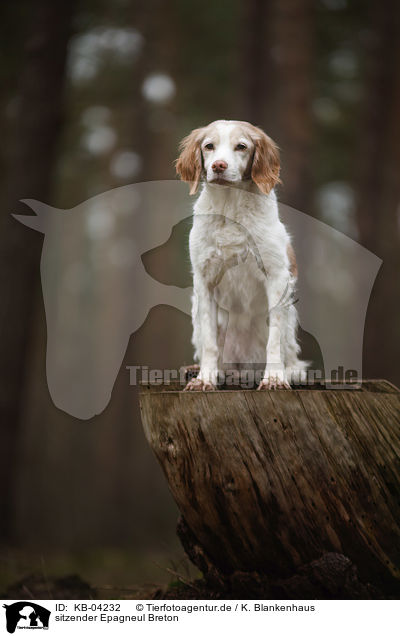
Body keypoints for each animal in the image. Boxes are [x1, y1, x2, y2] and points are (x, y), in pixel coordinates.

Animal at [176, 118, 306, 388]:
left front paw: (274, 378)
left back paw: (290, 371)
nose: (218, 166)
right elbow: (210, 342)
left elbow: (274, 340)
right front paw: (206, 378)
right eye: (209, 146)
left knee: (290, 355)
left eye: (241, 146)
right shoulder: (204, 281)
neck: (231, 208)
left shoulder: (277, 276)